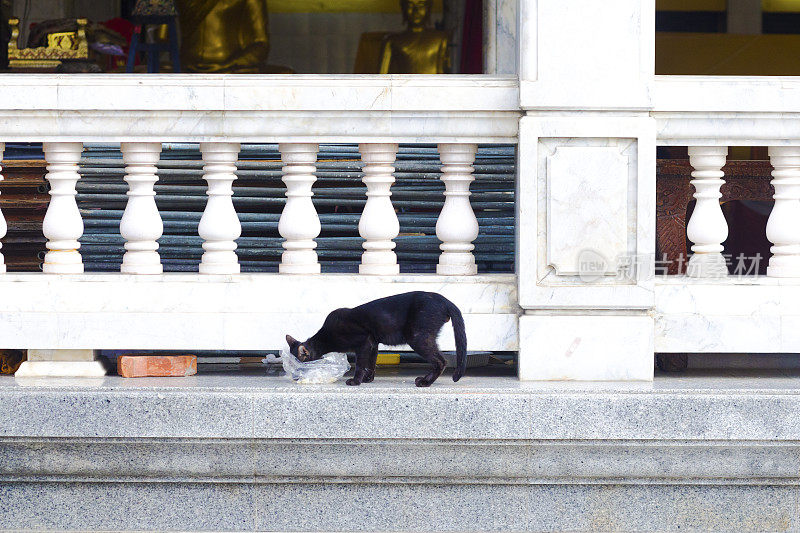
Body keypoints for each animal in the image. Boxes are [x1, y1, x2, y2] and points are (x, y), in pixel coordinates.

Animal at [286, 290, 466, 386]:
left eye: (299, 365)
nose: (295, 377)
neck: (325, 337)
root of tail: (445, 300)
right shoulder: (373, 343)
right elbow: (371, 363)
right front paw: (368, 379)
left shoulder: (363, 342)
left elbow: (360, 364)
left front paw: (355, 381)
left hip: (418, 337)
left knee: (441, 361)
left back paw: (425, 382)